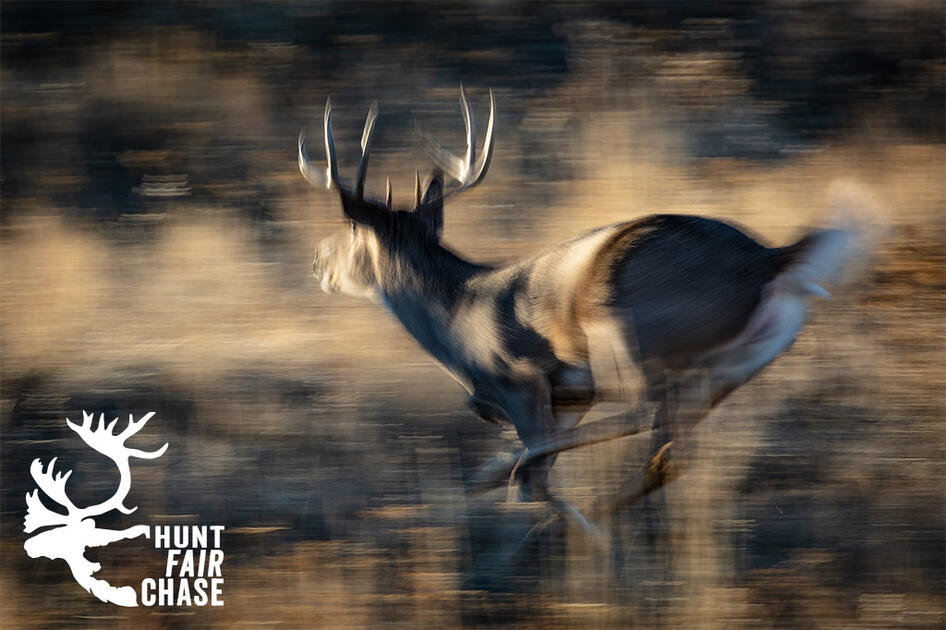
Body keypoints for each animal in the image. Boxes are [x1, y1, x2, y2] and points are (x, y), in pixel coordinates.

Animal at [298, 87, 859, 529]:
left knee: (641, 414)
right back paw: (601, 513)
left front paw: (508, 492)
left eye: (352, 234)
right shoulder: (571, 399)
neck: (459, 317)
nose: (317, 261)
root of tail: (767, 260)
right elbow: (541, 470)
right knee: (669, 451)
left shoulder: (522, 380)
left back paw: (539, 496)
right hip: (732, 368)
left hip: (631, 329)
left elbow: (534, 476)